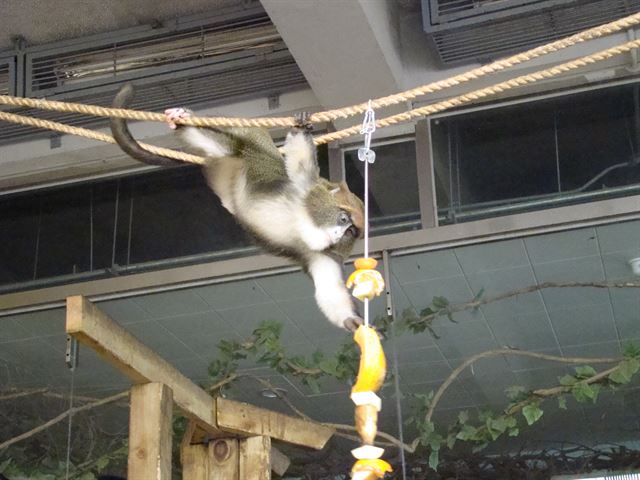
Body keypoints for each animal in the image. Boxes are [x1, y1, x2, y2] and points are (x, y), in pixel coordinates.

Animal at [110, 83, 364, 330]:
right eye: (343, 220)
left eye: (351, 232)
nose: (338, 234)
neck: (304, 222)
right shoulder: (305, 185)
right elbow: (300, 161)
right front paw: (301, 127)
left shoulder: (322, 255)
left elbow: (329, 291)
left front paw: (355, 323)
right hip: (249, 138)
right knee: (230, 142)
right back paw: (182, 119)